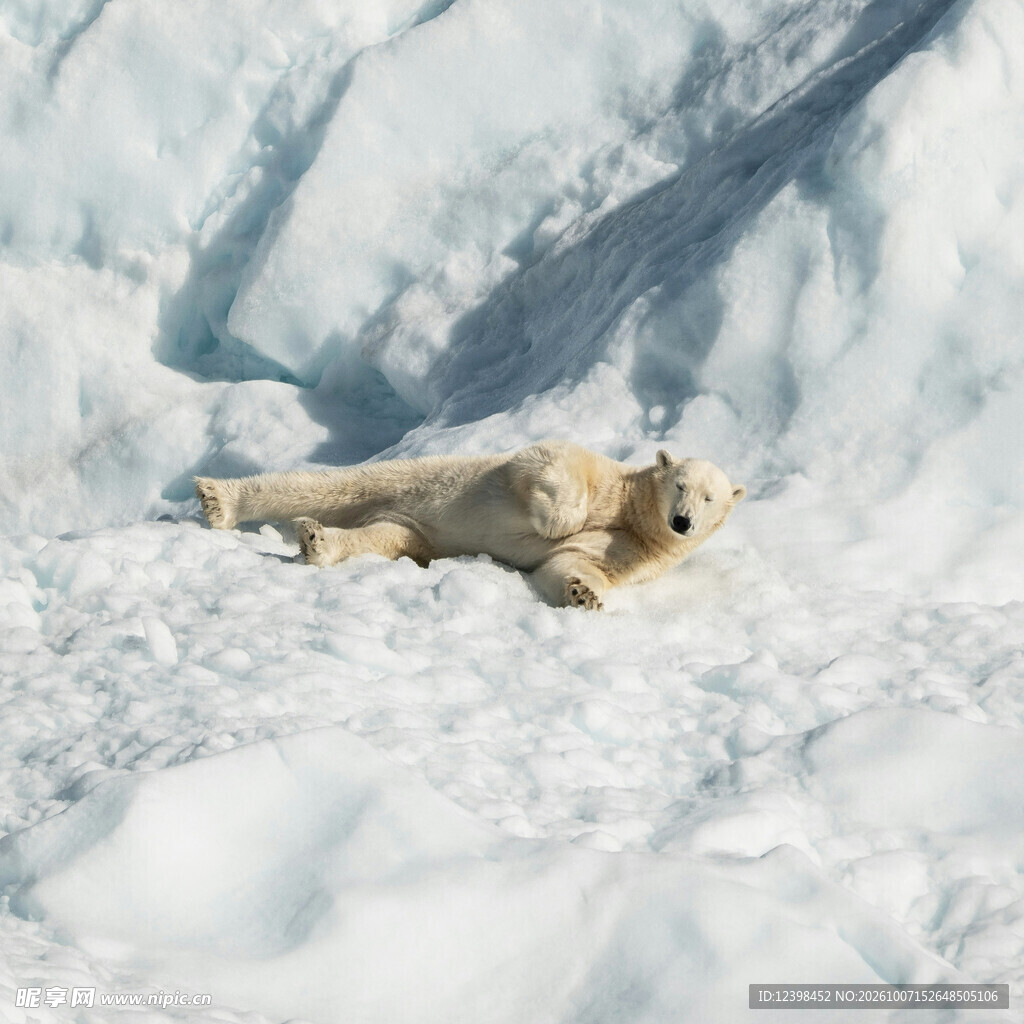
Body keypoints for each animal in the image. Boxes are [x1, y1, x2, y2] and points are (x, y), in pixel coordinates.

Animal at [195, 441, 745, 610]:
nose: (682, 522)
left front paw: (584, 594)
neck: (635, 512)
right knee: (323, 484)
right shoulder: (598, 475)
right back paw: (219, 498)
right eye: (680, 484)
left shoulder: (637, 552)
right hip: (410, 478)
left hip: (410, 529)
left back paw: (317, 540)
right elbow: (551, 462)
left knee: (383, 536)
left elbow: (572, 564)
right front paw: (554, 522)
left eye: (710, 498)